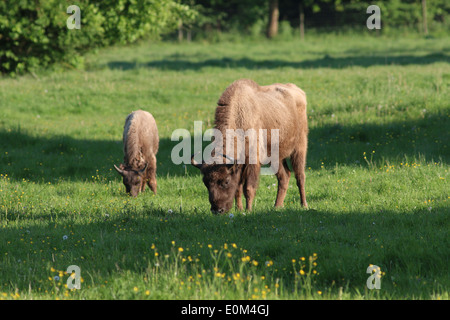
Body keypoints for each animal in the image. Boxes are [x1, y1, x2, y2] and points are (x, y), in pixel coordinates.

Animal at [192, 78, 308, 214]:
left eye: (226, 181)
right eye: (205, 182)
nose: (217, 210)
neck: (239, 116)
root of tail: (298, 91)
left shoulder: (252, 162)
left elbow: (248, 188)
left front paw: (248, 210)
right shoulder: (239, 165)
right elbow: (238, 188)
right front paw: (239, 209)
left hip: (299, 149)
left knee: (300, 177)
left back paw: (304, 205)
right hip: (276, 157)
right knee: (284, 176)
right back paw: (277, 206)